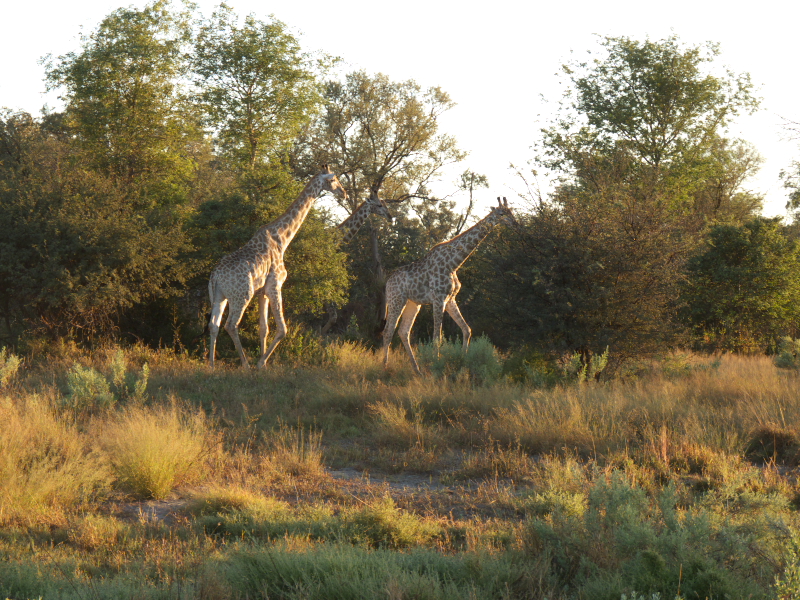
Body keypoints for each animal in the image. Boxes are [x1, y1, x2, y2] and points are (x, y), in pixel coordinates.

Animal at [208, 165, 348, 369]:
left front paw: (263, 362)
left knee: (214, 325)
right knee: (231, 325)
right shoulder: (275, 285)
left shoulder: (262, 292)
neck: (281, 239)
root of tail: (215, 276)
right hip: (242, 294)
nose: (343, 193)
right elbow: (282, 329)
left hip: (219, 296)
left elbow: (264, 328)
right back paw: (245, 365)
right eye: (334, 179)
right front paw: (261, 363)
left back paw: (210, 364)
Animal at [381, 197, 515, 374]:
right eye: (501, 214)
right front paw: (435, 365)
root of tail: (387, 283)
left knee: (403, 331)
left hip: (413, 304)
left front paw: (463, 361)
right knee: (388, 331)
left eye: (511, 212)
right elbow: (437, 337)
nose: (515, 224)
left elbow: (466, 329)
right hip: (397, 300)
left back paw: (417, 369)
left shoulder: (450, 299)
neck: (453, 264)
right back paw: (384, 366)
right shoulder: (439, 299)